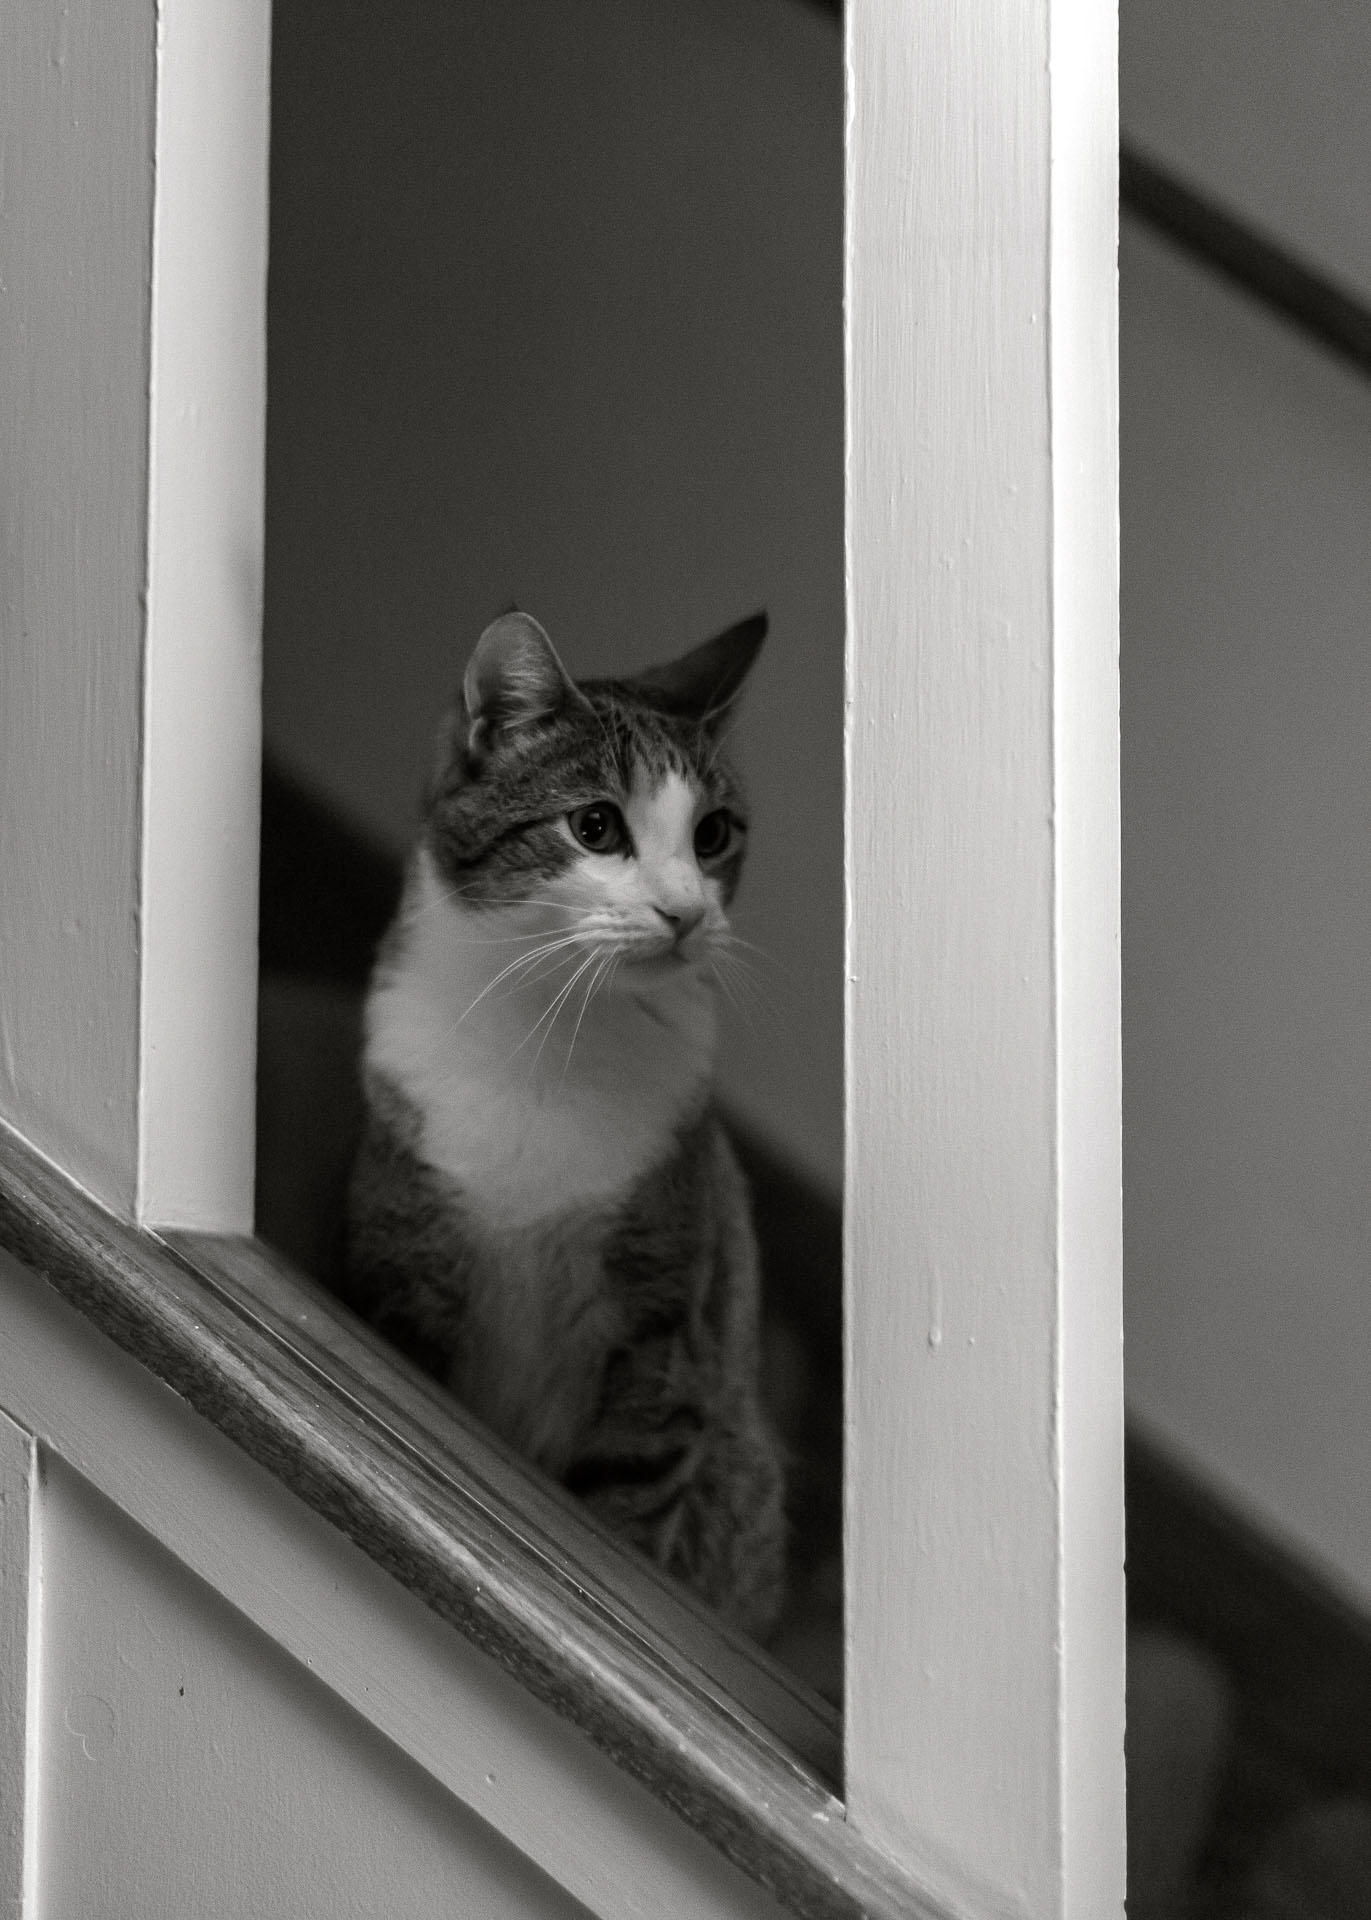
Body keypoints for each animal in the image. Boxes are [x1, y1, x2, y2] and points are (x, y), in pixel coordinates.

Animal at [343, 610, 779, 1635]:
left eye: (712, 834)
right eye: (594, 825)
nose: (685, 912)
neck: (550, 1031)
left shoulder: (662, 1327)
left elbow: (628, 1500)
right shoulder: (407, 1275)